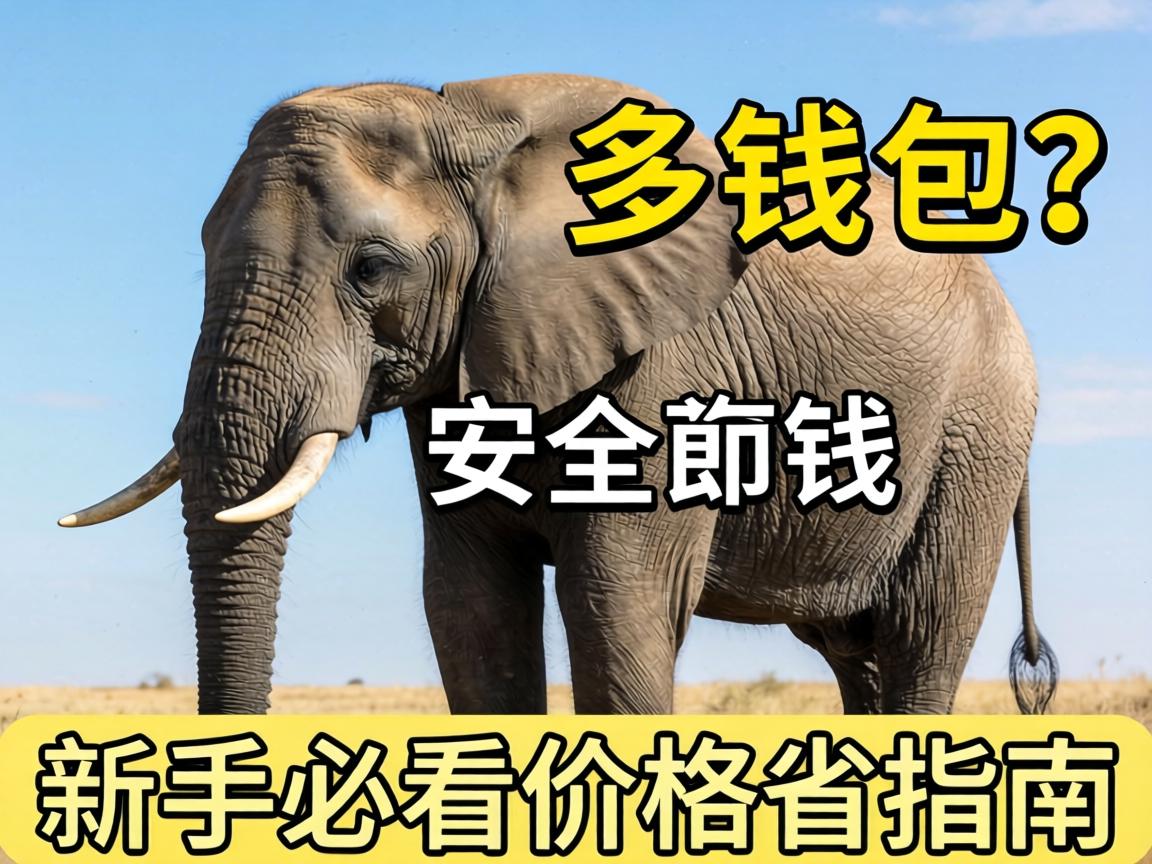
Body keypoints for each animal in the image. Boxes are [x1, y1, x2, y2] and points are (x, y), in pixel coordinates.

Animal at [60, 73, 1055, 716]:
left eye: (372, 268)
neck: (463, 123)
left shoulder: (665, 366)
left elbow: (615, 601)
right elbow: (468, 604)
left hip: (977, 436)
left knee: (921, 639)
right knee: (857, 655)